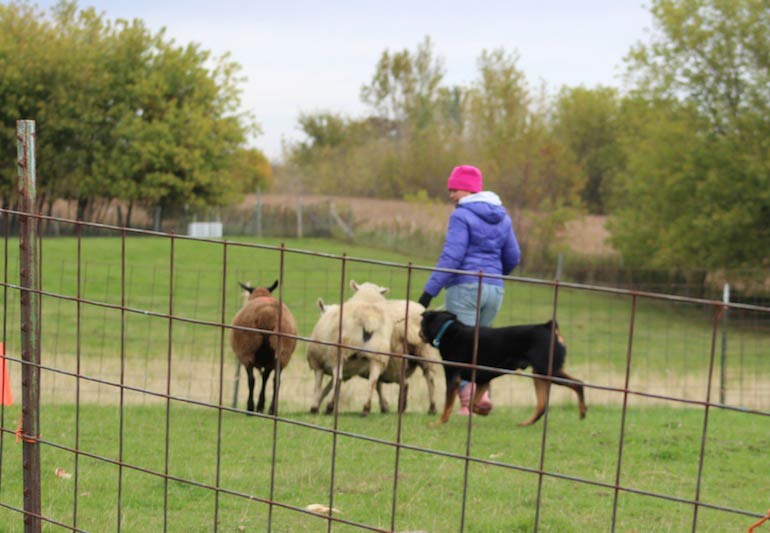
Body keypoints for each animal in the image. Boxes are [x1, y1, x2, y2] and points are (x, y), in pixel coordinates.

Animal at [230, 280, 296, 414]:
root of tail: (267, 313)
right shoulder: (269, 362)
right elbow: (265, 378)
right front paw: (261, 405)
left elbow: (259, 379)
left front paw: (259, 405)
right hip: (281, 352)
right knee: (276, 381)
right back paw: (272, 409)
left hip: (247, 350)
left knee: (251, 380)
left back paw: (250, 408)